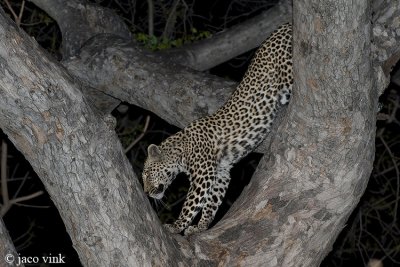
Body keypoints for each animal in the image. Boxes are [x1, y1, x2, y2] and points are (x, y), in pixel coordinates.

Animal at [142, 23, 292, 237]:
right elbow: (212, 202)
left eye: (147, 173)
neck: (181, 150)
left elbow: (191, 204)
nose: (146, 192)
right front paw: (201, 226)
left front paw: (177, 225)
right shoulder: (220, 172)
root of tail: (285, 26)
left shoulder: (203, 174)